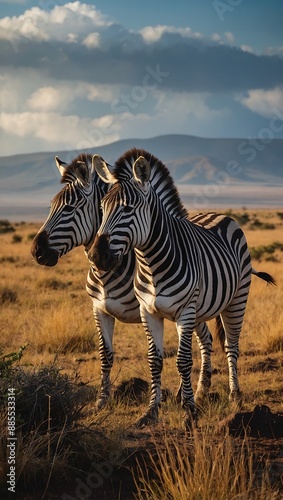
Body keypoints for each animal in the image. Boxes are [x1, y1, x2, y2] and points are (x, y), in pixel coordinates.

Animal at [88, 146, 276, 428]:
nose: (96, 256)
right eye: (102, 207)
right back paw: (201, 391)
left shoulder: (185, 311)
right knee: (207, 340)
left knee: (231, 345)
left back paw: (234, 395)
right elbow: (154, 360)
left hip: (236, 300)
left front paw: (189, 411)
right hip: (201, 308)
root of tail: (220, 214)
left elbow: (183, 360)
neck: (151, 263)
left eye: (128, 208)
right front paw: (152, 411)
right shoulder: (148, 311)